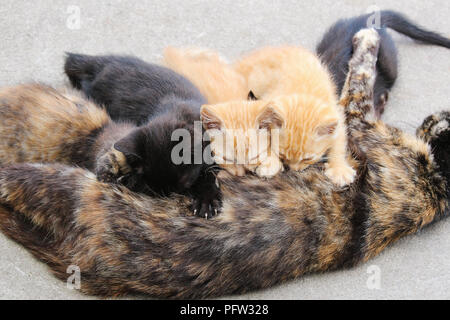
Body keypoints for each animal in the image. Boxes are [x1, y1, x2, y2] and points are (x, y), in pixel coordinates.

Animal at [63, 53, 221, 219]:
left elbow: (210, 174)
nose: (171, 197)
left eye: (185, 183)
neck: (177, 111)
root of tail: (102, 62)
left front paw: (206, 200)